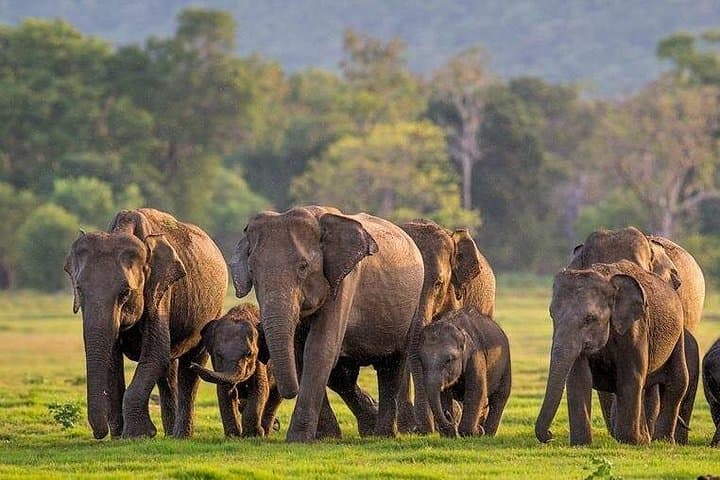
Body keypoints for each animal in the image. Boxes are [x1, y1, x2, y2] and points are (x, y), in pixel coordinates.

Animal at [64, 208, 227, 439]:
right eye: (79, 289)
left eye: (125, 292)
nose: (100, 434)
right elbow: (113, 358)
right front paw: (119, 436)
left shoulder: (160, 290)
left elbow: (155, 351)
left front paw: (138, 435)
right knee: (168, 370)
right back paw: (170, 435)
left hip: (214, 309)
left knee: (190, 366)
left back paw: (180, 436)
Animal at [190, 303, 282, 437]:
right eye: (218, 355)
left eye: (249, 354)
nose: (192, 365)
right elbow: (224, 392)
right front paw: (233, 436)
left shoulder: (260, 361)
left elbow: (260, 389)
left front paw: (252, 435)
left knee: (275, 397)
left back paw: (265, 432)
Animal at [229, 206, 424, 442]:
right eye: (252, 271)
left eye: (303, 267)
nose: (275, 425)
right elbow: (301, 353)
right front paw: (326, 437)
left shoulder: (345, 281)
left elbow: (319, 348)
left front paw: (298, 439)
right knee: (343, 374)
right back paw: (369, 426)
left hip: (412, 307)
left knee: (392, 365)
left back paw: (382, 434)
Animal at [419, 306, 510, 438]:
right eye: (421, 360)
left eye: (449, 360)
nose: (449, 417)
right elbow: (443, 394)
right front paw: (449, 436)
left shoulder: (476, 355)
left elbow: (477, 390)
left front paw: (471, 433)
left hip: (506, 363)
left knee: (500, 396)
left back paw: (488, 434)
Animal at [536, 260, 688, 445]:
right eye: (552, 315)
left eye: (590, 318)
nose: (550, 435)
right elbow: (579, 376)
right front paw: (581, 444)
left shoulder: (636, 326)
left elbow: (631, 374)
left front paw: (630, 441)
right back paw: (646, 438)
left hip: (678, 334)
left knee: (677, 381)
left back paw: (662, 441)